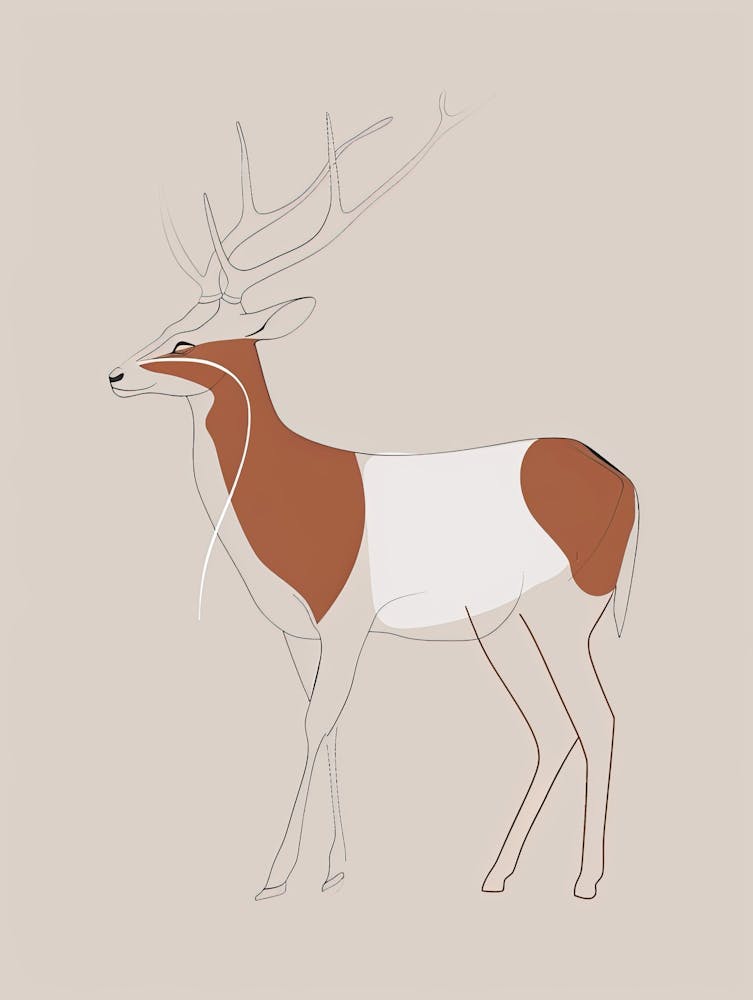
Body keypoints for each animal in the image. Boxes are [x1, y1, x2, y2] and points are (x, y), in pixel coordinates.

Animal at [109, 95, 639, 902]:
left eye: (188, 342)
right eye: (171, 324)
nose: (112, 374)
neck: (288, 489)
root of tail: (624, 478)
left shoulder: (346, 620)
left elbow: (314, 724)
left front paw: (273, 878)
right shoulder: (302, 633)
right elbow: (322, 723)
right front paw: (332, 871)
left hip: (565, 613)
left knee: (598, 720)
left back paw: (584, 882)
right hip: (504, 628)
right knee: (552, 728)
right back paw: (494, 875)